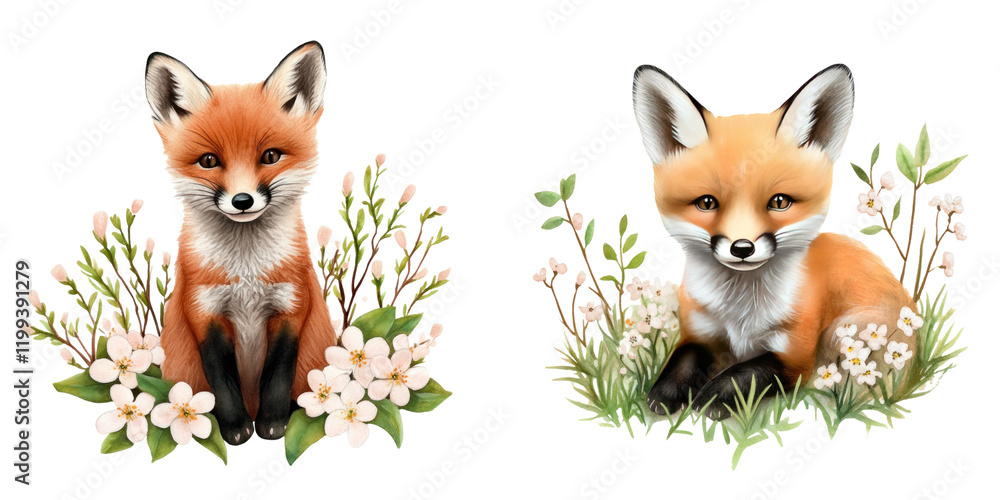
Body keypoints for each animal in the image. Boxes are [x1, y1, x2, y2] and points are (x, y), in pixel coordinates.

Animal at [144, 41, 336, 444]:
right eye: (209, 160)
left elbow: (278, 375)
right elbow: (222, 381)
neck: (246, 272)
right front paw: (234, 429)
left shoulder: (291, 306)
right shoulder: (203, 312)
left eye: (270, 156)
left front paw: (274, 424)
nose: (242, 200)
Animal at [631, 64, 918, 419]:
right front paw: (665, 392)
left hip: (844, 333)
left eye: (779, 202)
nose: (742, 248)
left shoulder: (795, 356)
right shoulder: (699, 332)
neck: (740, 315)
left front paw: (712, 399)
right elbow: (681, 361)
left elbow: (744, 374)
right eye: (707, 203)